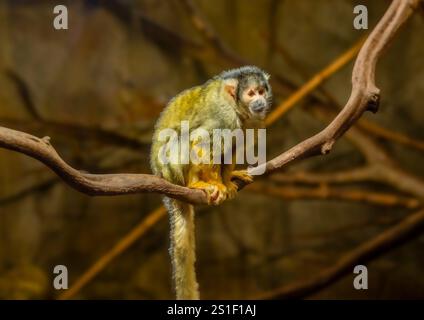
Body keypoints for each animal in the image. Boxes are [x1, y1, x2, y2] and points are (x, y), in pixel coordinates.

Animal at [151, 65, 274, 300]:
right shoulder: (223, 116)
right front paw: (217, 184)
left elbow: (233, 147)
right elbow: (205, 140)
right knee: (189, 136)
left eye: (261, 91)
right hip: (171, 170)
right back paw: (194, 183)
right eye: (251, 93)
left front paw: (227, 180)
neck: (236, 107)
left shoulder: (250, 121)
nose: (259, 101)